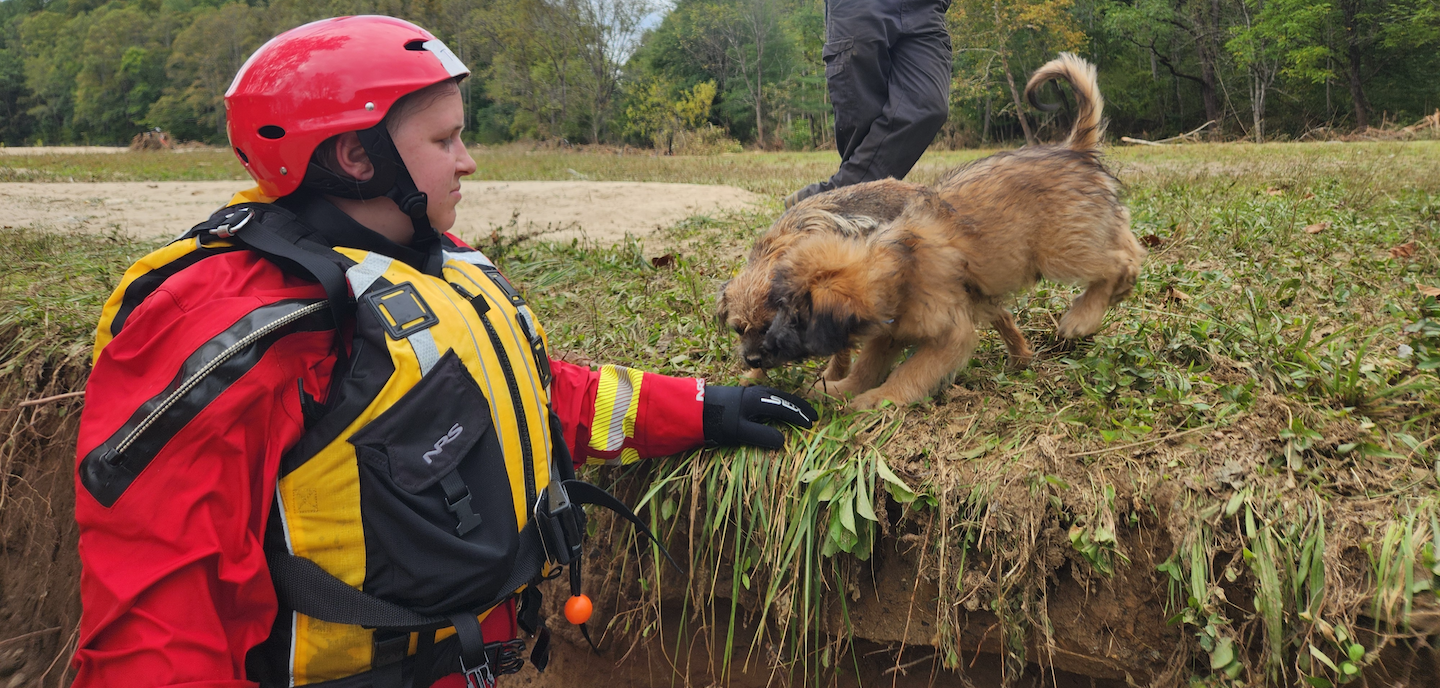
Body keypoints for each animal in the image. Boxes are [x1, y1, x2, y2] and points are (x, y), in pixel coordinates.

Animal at [725, 55, 1140, 408]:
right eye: (749, 325)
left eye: (792, 319)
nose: (755, 357)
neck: (900, 265)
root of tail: (1074, 151)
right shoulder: (889, 334)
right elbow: (866, 366)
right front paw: (839, 389)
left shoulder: (951, 336)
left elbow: (911, 372)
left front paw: (879, 400)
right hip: (1075, 236)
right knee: (1127, 244)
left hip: (1059, 251)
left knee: (1117, 261)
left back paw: (1083, 316)